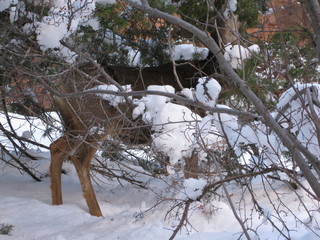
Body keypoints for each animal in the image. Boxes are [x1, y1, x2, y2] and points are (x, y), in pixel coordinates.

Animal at [50, 59, 220, 217]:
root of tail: (59, 83)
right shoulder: (189, 134)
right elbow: (192, 175)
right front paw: (194, 202)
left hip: (75, 125)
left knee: (56, 147)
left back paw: (57, 204)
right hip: (95, 123)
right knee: (79, 158)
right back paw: (97, 213)